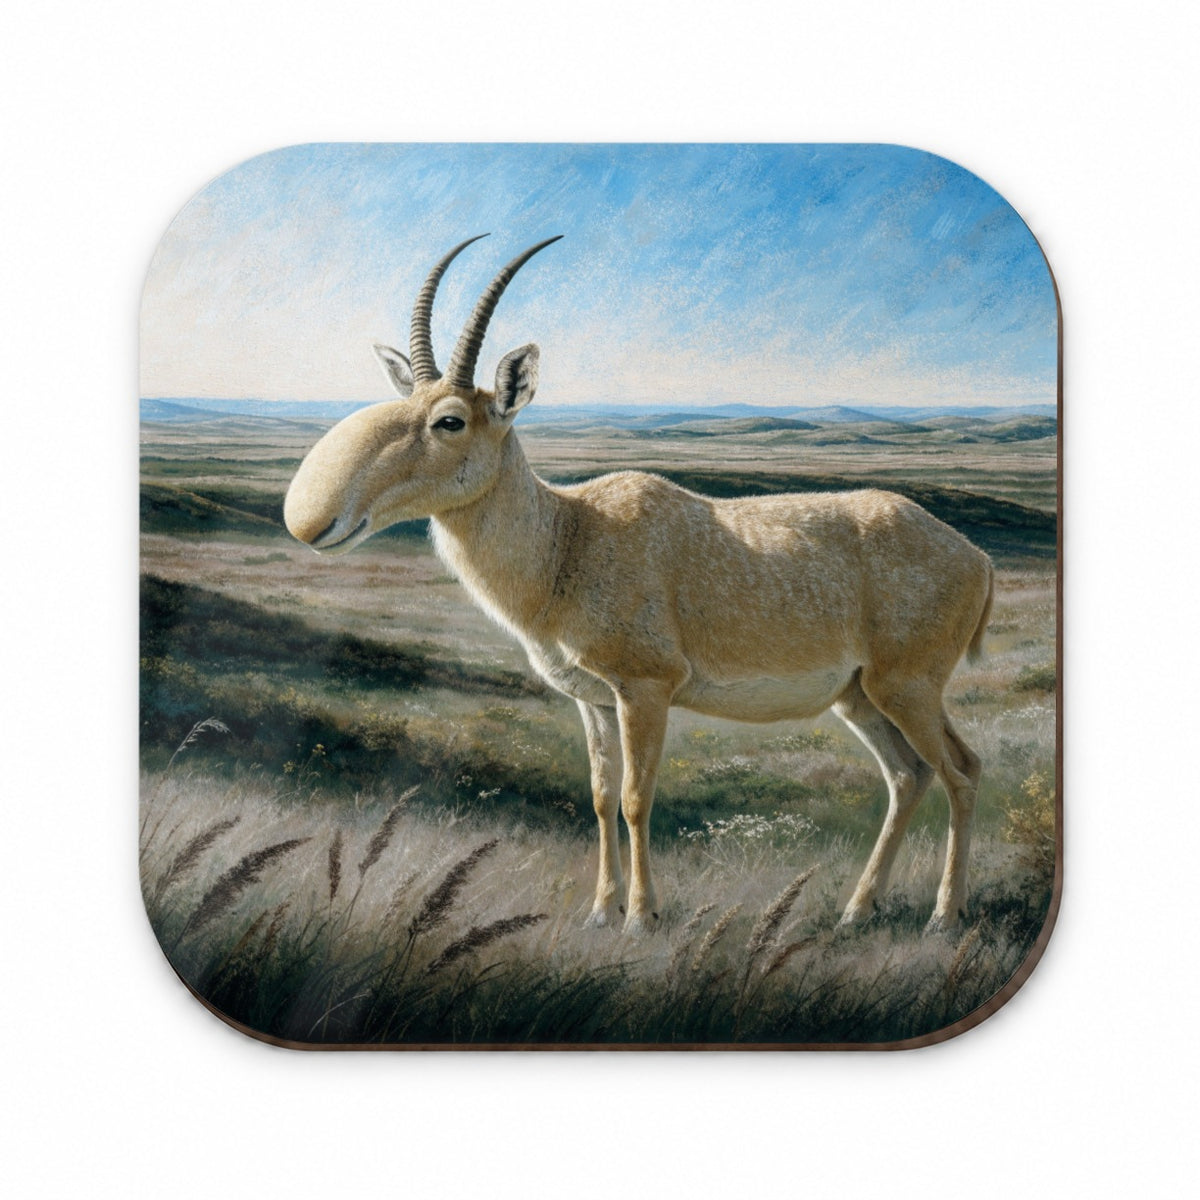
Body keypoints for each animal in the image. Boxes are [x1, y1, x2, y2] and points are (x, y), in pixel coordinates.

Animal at [284, 236, 994, 934]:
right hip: (860, 698)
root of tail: (977, 557)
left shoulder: (646, 689)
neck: (570, 537)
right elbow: (601, 799)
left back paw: (944, 916)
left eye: (451, 420)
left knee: (961, 770)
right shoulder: (595, 701)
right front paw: (601, 911)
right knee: (908, 775)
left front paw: (640, 917)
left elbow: (634, 798)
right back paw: (855, 911)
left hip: (907, 687)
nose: (318, 523)